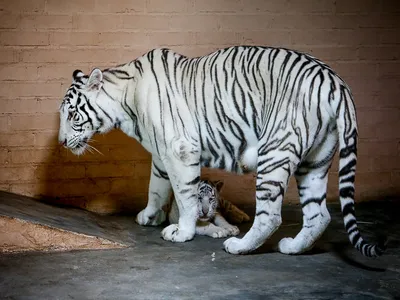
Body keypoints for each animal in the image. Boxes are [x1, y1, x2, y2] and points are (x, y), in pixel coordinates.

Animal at [57, 45, 386, 256]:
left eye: (73, 115)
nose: (60, 142)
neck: (126, 104)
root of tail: (335, 81)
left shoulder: (180, 151)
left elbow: (185, 196)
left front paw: (182, 232)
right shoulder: (161, 155)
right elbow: (156, 188)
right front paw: (149, 216)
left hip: (275, 152)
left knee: (270, 216)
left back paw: (239, 247)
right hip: (316, 160)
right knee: (320, 215)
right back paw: (292, 248)